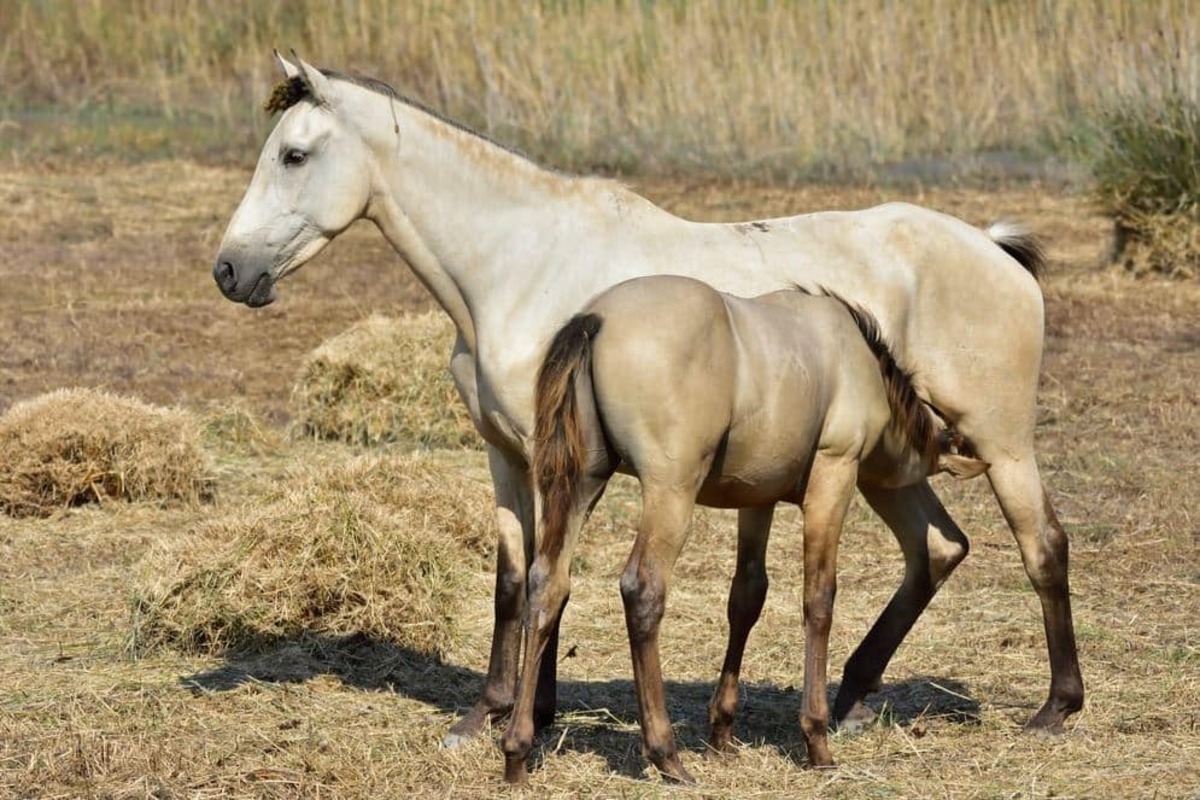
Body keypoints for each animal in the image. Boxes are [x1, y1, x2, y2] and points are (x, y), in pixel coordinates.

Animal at [211, 56, 1084, 753]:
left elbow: (551, 577)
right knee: (936, 549)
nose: (228, 270)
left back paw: (1054, 709)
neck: (521, 265)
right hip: (885, 467)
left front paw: (534, 716)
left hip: (1000, 446)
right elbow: (514, 579)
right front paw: (485, 717)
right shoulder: (505, 454)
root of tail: (993, 248)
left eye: (294, 154)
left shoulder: (559, 459)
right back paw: (850, 698)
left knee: (1043, 546)